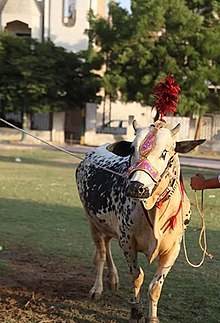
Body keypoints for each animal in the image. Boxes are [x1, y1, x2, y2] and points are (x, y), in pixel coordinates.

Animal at [75, 77, 205, 322]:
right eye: (132, 149)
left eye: (165, 153)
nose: (137, 187)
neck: (155, 212)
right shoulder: (128, 241)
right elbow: (137, 276)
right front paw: (135, 310)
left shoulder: (172, 249)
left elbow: (155, 286)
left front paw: (152, 316)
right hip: (92, 222)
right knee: (101, 254)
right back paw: (98, 288)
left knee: (107, 248)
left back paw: (113, 279)